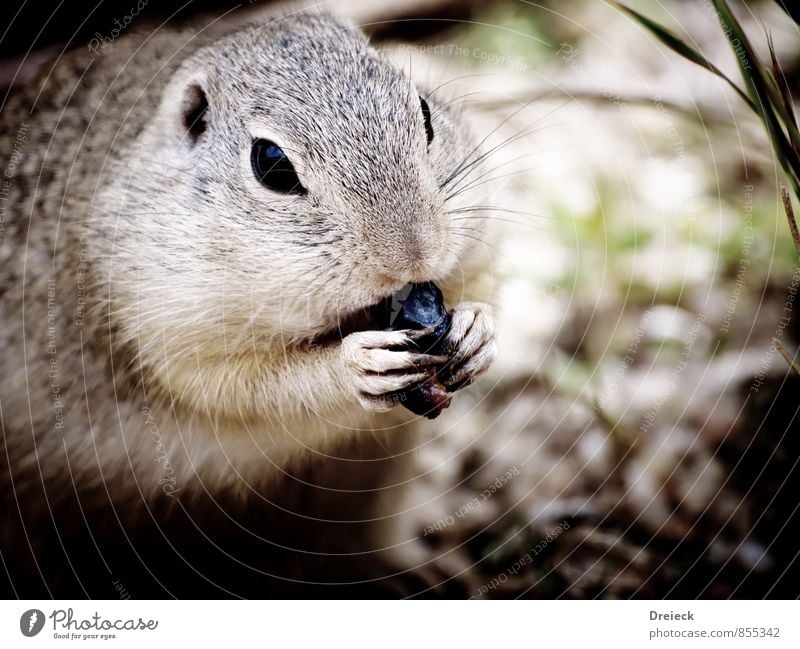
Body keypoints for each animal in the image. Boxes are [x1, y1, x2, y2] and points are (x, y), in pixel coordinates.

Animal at [1, 11, 500, 596]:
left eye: (424, 112)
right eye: (272, 163)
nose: (414, 256)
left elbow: (483, 282)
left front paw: (476, 330)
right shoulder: (174, 330)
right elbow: (245, 388)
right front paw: (357, 365)